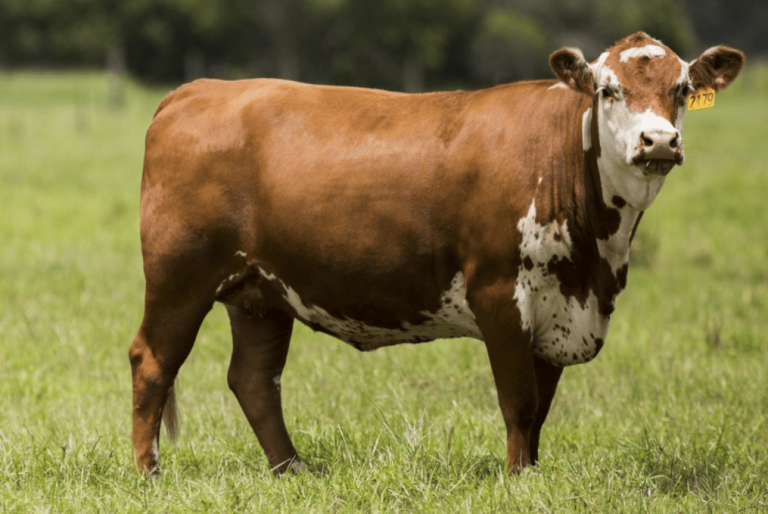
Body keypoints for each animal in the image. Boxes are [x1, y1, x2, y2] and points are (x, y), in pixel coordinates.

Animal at [130, 32, 744, 475]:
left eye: (682, 89)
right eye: (608, 89)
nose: (658, 142)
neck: (596, 262)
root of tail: (196, 89)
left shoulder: (560, 311)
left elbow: (541, 410)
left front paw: (533, 472)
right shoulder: (500, 293)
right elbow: (519, 402)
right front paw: (518, 481)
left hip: (262, 292)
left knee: (255, 380)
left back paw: (292, 470)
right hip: (179, 276)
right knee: (153, 361)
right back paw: (149, 474)